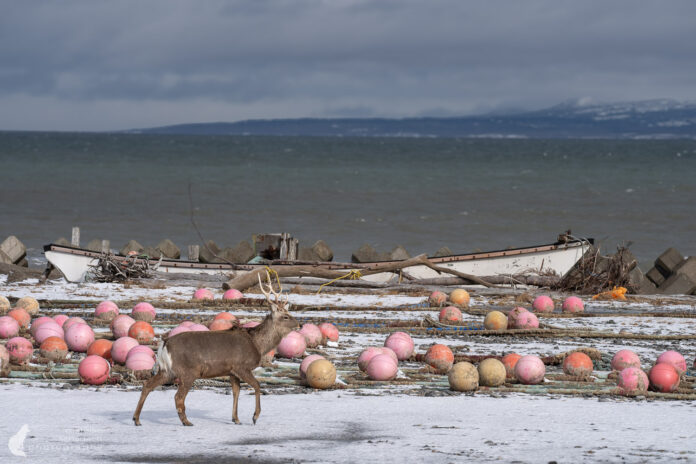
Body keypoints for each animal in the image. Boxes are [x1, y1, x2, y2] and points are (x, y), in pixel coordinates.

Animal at [132, 272, 298, 428]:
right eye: (285, 317)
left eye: (290, 314)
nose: (299, 325)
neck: (257, 344)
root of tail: (164, 344)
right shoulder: (241, 366)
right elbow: (257, 385)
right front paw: (254, 417)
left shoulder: (231, 371)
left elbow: (236, 392)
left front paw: (236, 419)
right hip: (188, 371)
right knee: (178, 397)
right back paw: (186, 421)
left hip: (167, 370)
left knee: (147, 385)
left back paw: (137, 419)